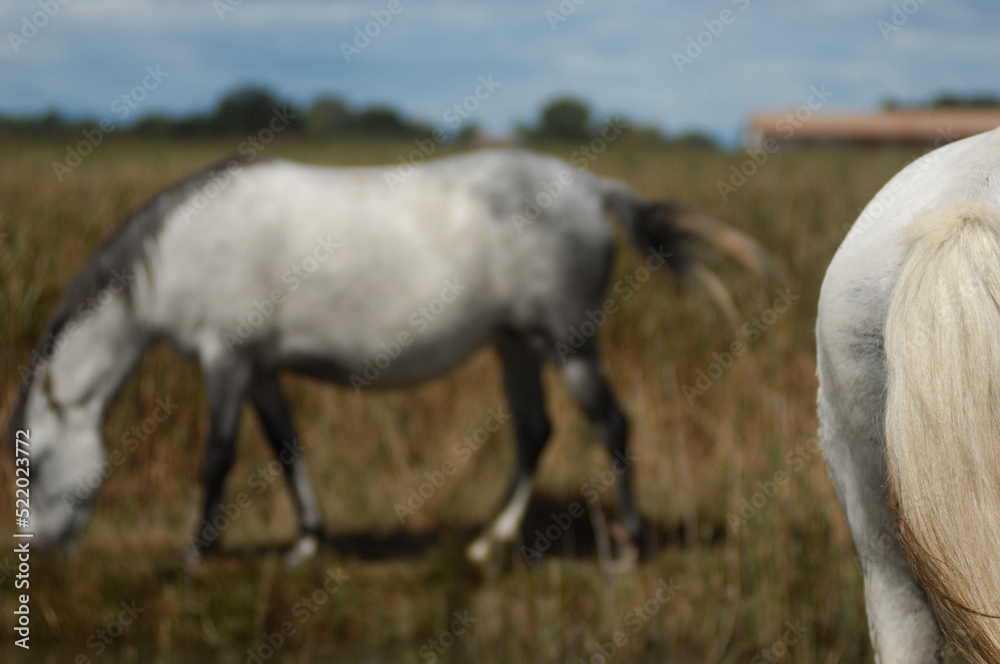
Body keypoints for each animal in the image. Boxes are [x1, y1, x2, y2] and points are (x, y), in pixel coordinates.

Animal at [8, 146, 767, 566]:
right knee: (534, 433)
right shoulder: (260, 369)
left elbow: (218, 457)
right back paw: (489, 543)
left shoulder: (226, 361)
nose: (40, 551)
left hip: (569, 345)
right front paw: (307, 543)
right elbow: (285, 446)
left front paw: (195, 552)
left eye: (35, 463)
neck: (185, 247)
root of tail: (591, 187)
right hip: (514, 346)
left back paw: (630, 548)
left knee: (610, 425)